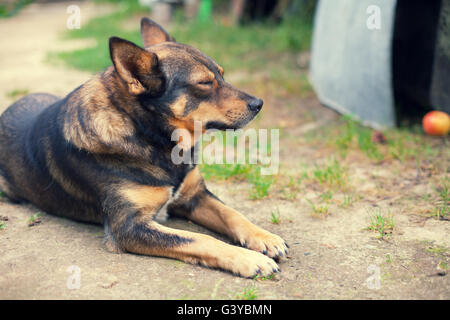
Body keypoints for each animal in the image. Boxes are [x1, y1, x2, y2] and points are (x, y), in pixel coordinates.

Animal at [0, 18, 288, 278]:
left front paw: (264, 237)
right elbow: (200, 239)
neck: (149, 134)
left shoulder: (195, 196)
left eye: (222, 74)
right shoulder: (129, 227)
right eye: (204, 83)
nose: (258, 104)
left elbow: (232, 214)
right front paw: (248, 259)